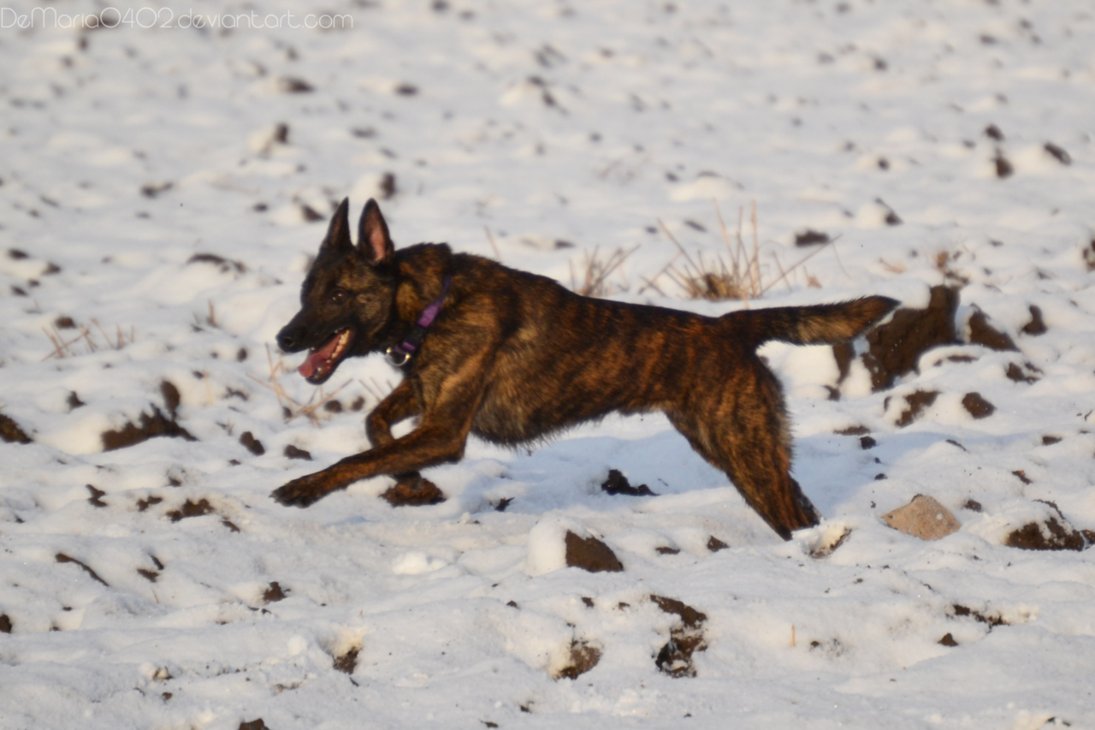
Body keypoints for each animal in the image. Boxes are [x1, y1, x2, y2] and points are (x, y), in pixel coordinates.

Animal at [269, 200, 893, 542]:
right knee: (802, 507)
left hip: (745, 453)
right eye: (305, 292)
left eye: (338, 294)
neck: (431, 304)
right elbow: (375, 426)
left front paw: (303, 488)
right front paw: (412, 483)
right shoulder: (427, 396)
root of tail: (729, 327)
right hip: (742, 451)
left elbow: (355, 458)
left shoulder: (445, 429)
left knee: (795, 514)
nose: (284, 338)